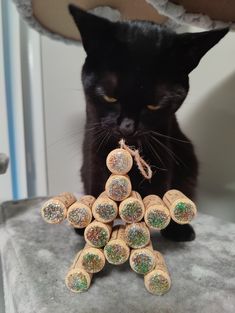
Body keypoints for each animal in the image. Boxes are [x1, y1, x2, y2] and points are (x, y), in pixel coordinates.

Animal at [68, 4, 228, 241]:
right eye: (109, 97)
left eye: (154, 106)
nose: (127, 127)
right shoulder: (94, 146)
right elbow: (97, 183)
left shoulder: (162, 151)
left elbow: (159, 193)